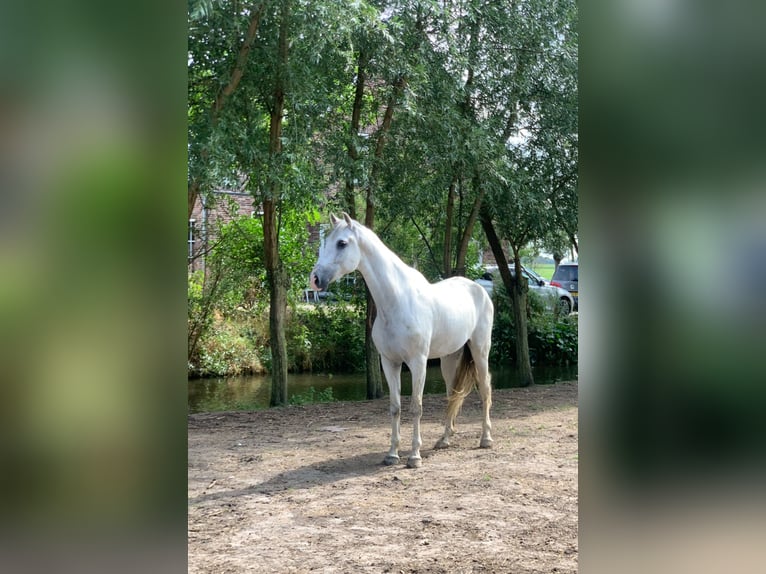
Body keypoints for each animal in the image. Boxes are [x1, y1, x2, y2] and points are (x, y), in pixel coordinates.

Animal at [308, 214, 496, 470]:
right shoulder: (390, 363)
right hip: (449, 358)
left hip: (480, 350)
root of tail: (480, 290)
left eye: (342, 243)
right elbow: (395, 407)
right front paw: (392, 454)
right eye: (326, 241)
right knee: (452, 394)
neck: (397, 301)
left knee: (485, 389)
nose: (315, 279)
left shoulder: (418, 363)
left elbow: (416, 407)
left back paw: (486, 439)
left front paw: (414, 456)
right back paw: (444, 439)